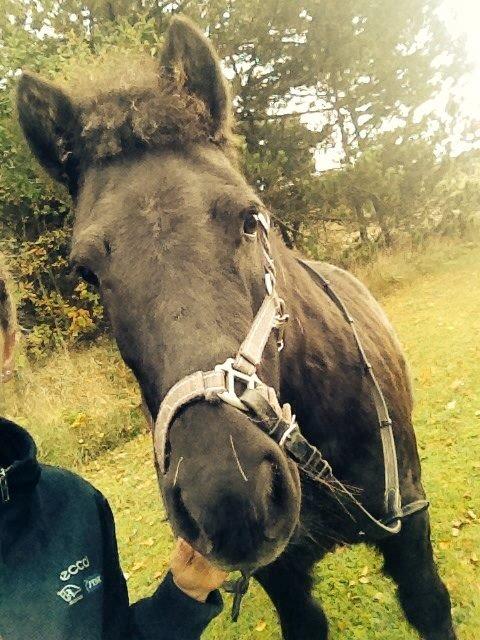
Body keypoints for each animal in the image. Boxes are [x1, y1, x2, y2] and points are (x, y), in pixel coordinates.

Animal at [17, 16, 456, 640]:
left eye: (250, 220)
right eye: (87, 272)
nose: (230, 497)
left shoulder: (410, 530)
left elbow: (429, 605)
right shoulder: (284, 579)